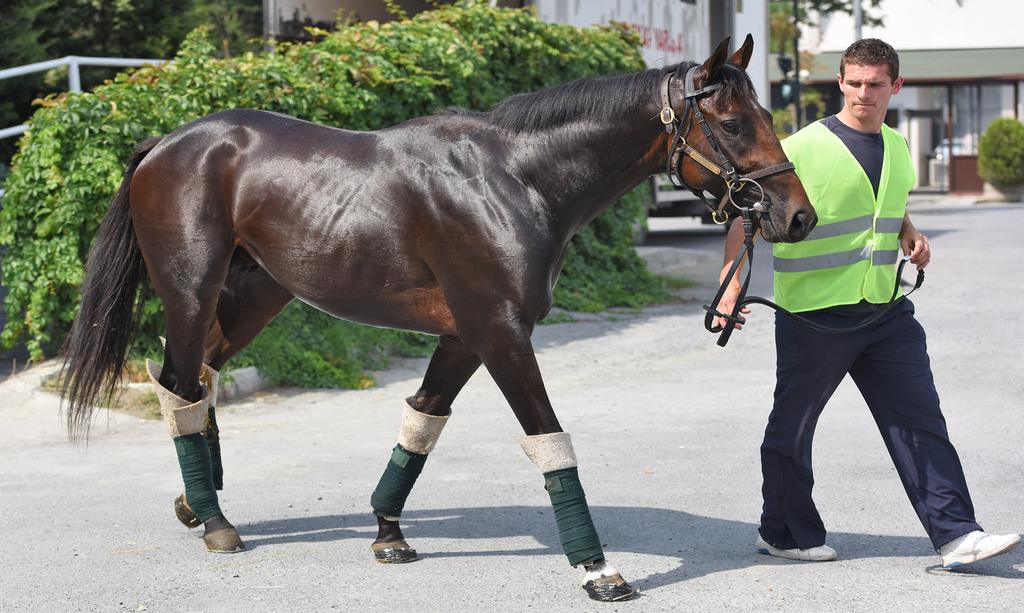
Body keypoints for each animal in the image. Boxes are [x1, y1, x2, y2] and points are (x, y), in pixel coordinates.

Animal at [61, 36, 815, 601]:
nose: (797, 216)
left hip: (253, 296)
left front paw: (388, 532)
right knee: (183, 382)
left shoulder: (463, 337)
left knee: (193, 381)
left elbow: (422, 423)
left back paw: (197, 504)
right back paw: (217, 521)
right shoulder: (500, 333)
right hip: (191, 290)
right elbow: (550, 441)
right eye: (733, 122)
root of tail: (167, 142)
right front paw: (598, 569)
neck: (515, 180)